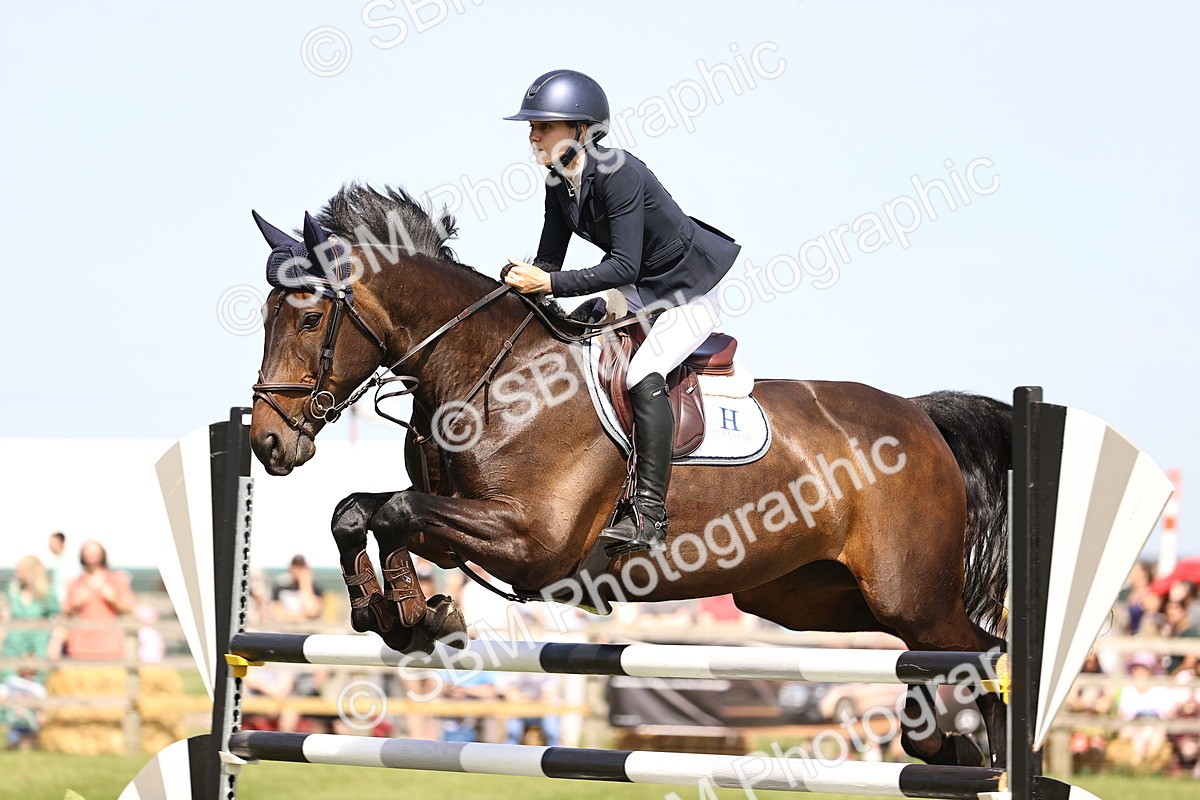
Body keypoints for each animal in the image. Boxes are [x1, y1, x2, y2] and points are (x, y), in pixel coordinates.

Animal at [248, 184, 1013, 769]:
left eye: (310, 318)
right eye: (264, 315)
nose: (268, 442)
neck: (487, 371)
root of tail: (919, 417)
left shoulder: (533, 541)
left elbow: (395, 511)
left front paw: (413, 613)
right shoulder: (463, 520)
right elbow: (360, 511)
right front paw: (396, 614)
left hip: (908, 592)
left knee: (979, 650)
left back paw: (974, 750)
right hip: (811, 596)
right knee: (940, 650)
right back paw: (941, 744)